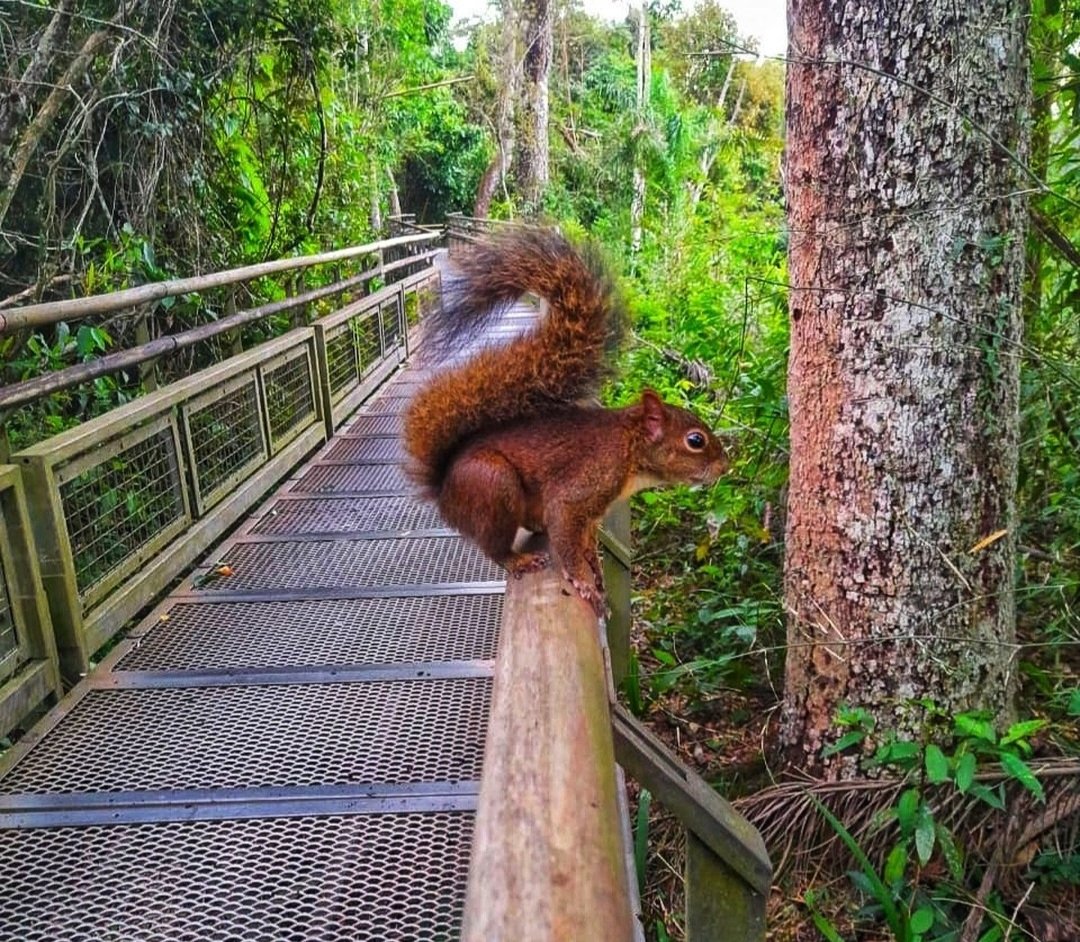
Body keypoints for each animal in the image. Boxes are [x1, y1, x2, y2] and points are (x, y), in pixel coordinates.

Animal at [402, 227, 729, 615]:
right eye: (695, 440)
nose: (725, 466)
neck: (629, 448)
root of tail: (443, 489)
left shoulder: (593, 514)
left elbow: (584, 541)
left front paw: (594, 567)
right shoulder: (581, 489)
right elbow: (567, 537)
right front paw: (585, 584)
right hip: (491, 482)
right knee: (493, 544)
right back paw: (517, 560)